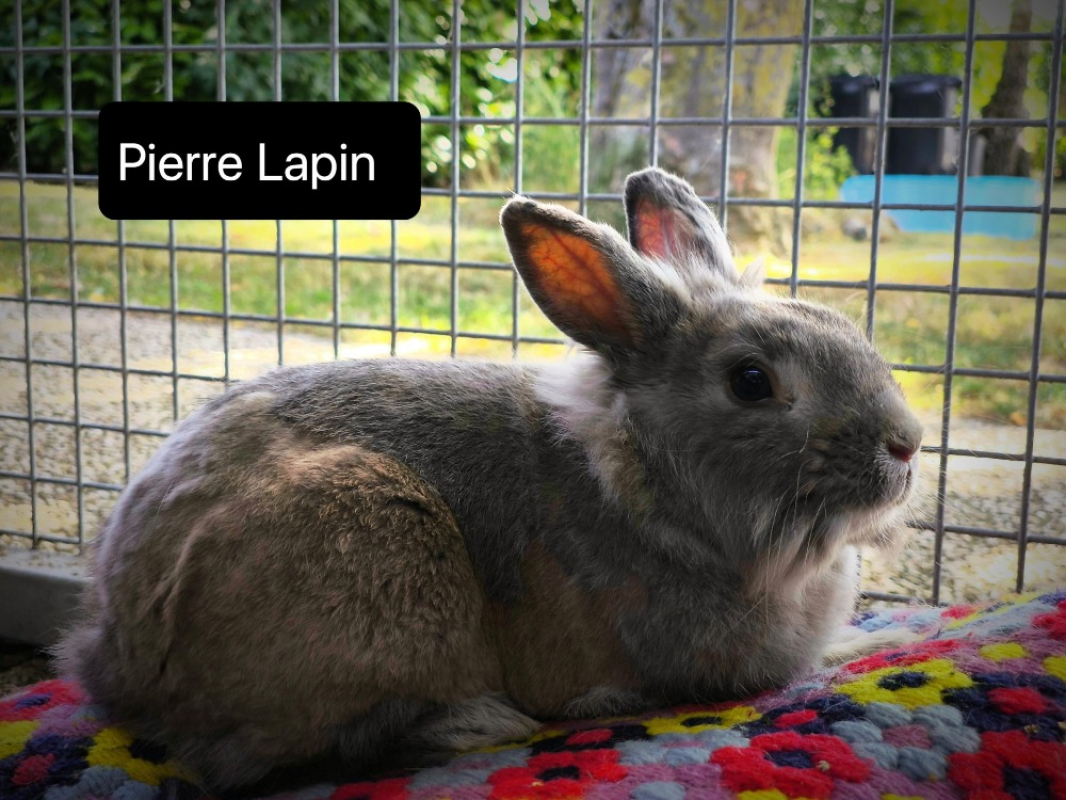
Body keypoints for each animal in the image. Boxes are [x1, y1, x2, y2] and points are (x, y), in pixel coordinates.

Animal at [56, 167, 924, 793]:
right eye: (750, 381)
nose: (908, 444)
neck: (645, 482)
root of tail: (121, 661)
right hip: (378, 543)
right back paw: (486, 723)